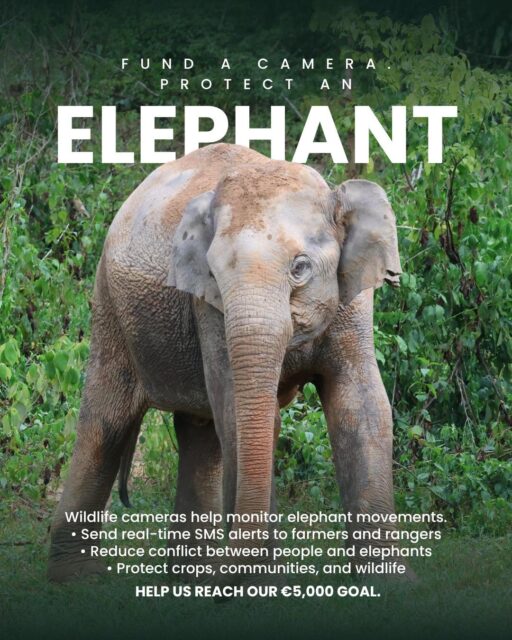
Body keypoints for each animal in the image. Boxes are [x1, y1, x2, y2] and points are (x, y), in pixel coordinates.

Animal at [48, 142, 408, 584]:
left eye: (300, 267)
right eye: (214, 274)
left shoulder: (352, 300)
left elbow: (362, 406)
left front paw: (391, 581)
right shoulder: (208, 308)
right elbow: (239, 412)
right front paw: (258, 585)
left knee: (199, 433)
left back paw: (190, 578)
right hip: (109, 307)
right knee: (105, 423)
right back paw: (78, 576)